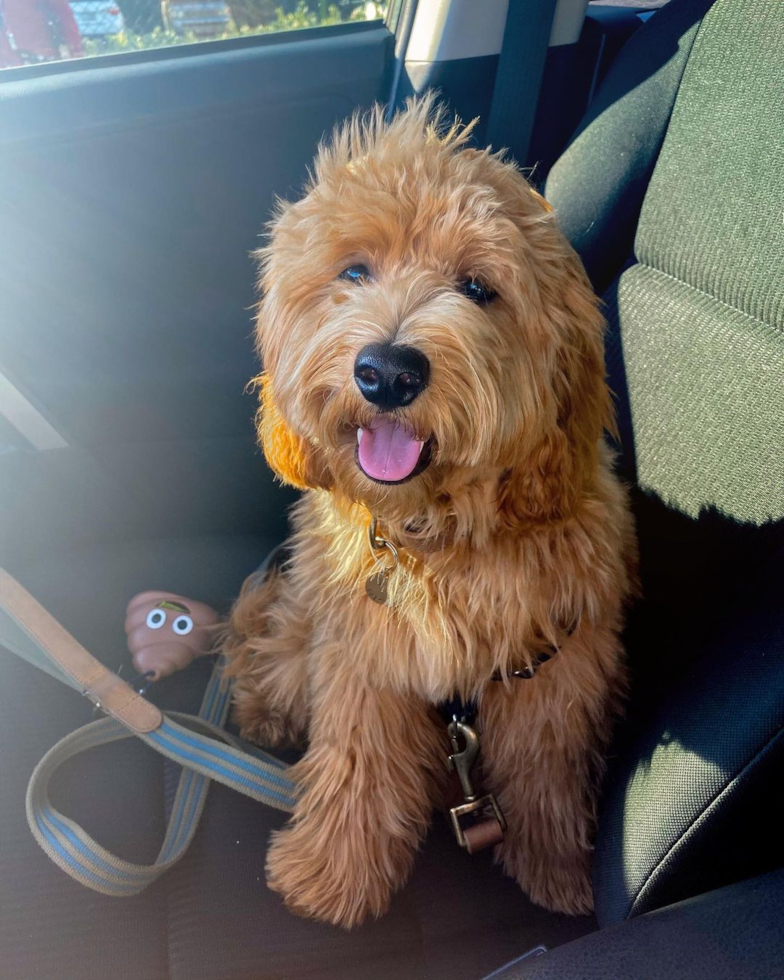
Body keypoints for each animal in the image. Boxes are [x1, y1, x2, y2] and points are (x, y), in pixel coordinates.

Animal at [222, 97, 636, 928]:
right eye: (354, 270)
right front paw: (331, 879)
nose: (386, 371)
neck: (437, 536)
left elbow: (545, 773)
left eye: (478, 287)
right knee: (267, 653)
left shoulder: (554, 669)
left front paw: (555, 872)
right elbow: (357, 770)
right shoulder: (365, 663)